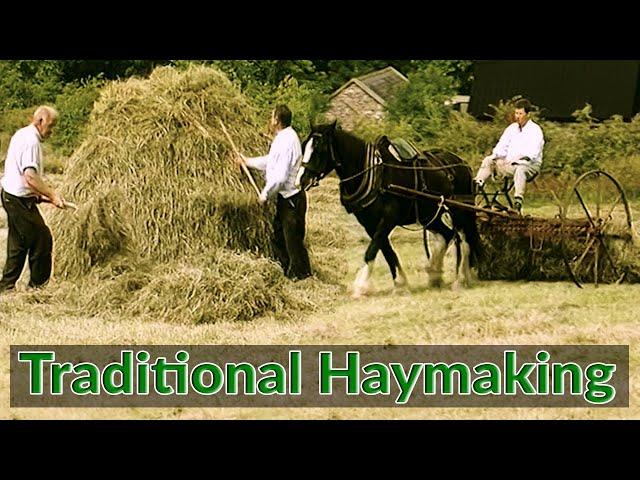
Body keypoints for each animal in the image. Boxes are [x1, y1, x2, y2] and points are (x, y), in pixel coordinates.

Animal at [296, 122, 480, 296]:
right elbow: (386, 251)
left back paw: (461, 279)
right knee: (447, 235)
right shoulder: (370, 223)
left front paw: (360, 286)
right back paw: (435, 274)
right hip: (429, 215)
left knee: (465, 240)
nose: (301, 180)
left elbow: (371, 250)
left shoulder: (389, 218)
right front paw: (400, 283)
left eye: (320, 148)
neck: (375, 175)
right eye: (304, 146)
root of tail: (462, 163)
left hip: (460, 211)